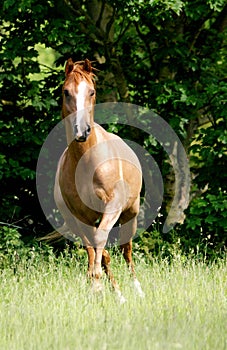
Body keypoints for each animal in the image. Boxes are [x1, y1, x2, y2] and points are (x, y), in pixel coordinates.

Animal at [54, 58, 144, 302]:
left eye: (92, 92)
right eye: (66, 92)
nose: (82, 131)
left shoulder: (112, 206)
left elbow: (102, 241)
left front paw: (97, 284)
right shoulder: (80, 216)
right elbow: (94, 248)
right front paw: (96, 285)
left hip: (130, 214)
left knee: (126, 249)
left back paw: (136, 290)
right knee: (101, 252)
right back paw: (116, 292)